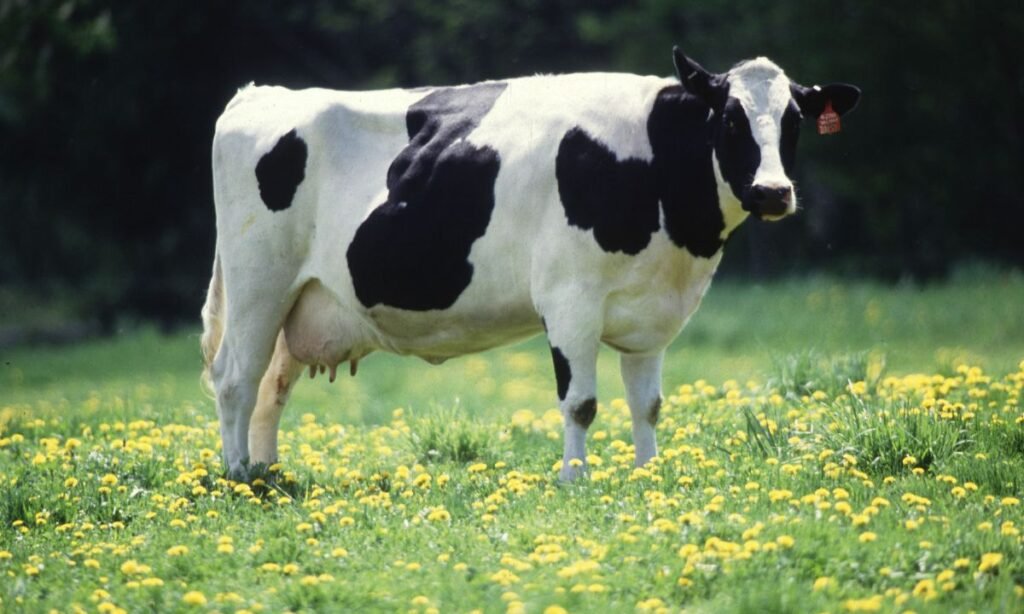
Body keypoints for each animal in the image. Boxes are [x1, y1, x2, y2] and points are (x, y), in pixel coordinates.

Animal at [201, 48, 860, 481]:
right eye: (729, 118)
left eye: (794, 121)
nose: (773, 192)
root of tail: (260, 93)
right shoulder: (570, 299)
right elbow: (581, 402)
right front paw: (574, 480)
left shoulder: (652, 314)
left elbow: (647, 403)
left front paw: (648, 475)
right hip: (258, 282)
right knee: (235, 378)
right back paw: (238, 477)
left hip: (300, 300)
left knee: (271, 386)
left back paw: (269, 473)